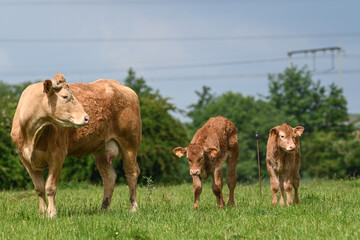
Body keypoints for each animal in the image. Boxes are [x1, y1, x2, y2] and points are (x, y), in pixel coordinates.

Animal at [10, 73, 141, 218]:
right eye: (65, 96)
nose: (86, 118)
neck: (32, 134)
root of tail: (120, 86)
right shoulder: (25, 159)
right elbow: (39, 188)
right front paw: (42, 214)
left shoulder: (58, 155)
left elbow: (50, 187)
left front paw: (52, 214)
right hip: (101, 149)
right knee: (109, 177)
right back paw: (103, 208)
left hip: (130, 143)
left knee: (131, 172)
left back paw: (133, 208)